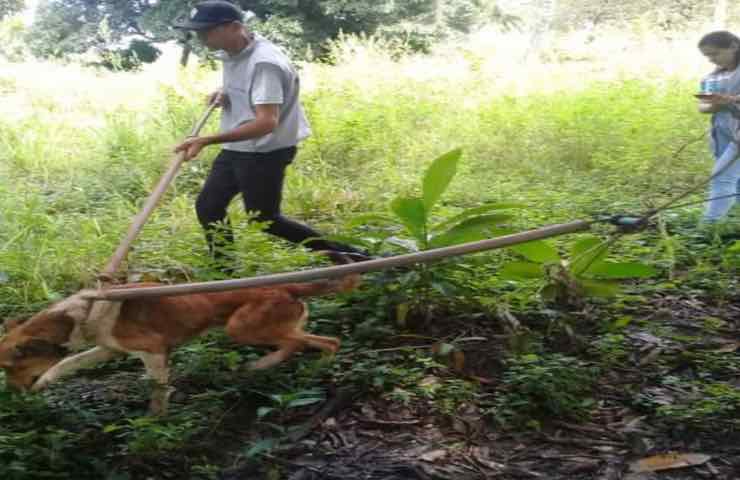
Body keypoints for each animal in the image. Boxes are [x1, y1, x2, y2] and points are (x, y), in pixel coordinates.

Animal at [0, 272, 358, 414]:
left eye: (9, 367)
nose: (13, 397)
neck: (85, 312)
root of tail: (289, 286)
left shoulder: (154, 351)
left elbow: (158, 389)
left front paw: (155, 420)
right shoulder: (108, 348)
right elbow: (67, 362)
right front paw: (45, 381)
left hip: (240, 327)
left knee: (327, 341)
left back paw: (315, 368)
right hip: (253, 328)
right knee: (298, 341)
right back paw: (264, 364)